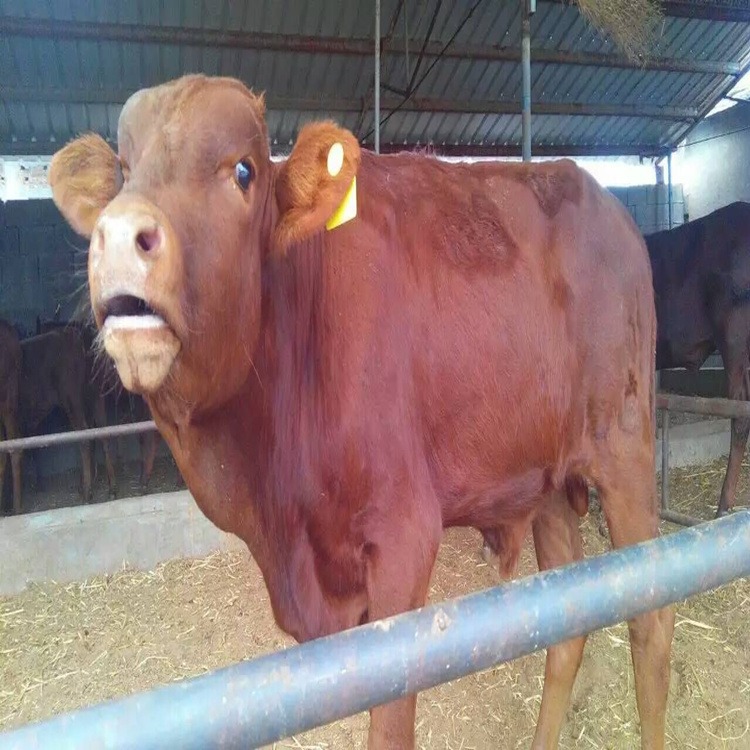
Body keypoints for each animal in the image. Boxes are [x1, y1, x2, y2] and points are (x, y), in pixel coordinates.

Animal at [50, 75, 676, 750]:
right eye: (124, 170)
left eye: (243, 170)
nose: (118, 234)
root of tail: (604, 202)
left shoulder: (404, 535)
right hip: (548, 481)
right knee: (568, 623)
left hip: (626, 448)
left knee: (653, 621)